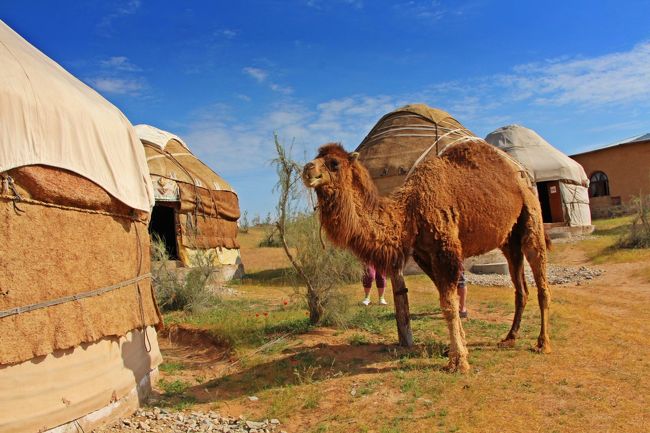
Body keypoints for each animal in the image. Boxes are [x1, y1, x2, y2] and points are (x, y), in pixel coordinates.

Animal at [302, 141, 548, 372]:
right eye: (317, 157)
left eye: (334, 163)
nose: (307, 169)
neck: (410, 212)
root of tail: (522, 179)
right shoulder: (424, 256)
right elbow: (449, 300)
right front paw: (460, 349)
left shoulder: (446, 250)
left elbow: (448, 305)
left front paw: (458, 361)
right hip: (509, 240)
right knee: (521, 288)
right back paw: (509, 338)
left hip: (532, 216)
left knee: (541, 282)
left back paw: (542, 344)